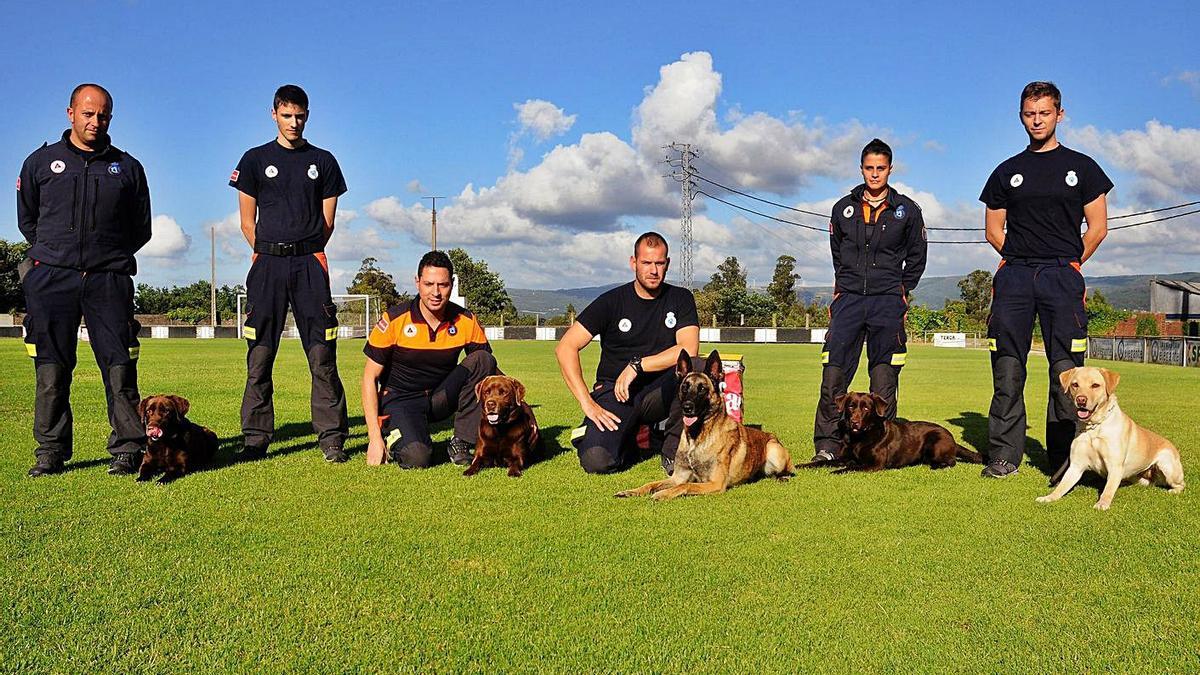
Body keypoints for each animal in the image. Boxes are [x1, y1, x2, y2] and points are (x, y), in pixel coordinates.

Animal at [614, 348, 792, 497]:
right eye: (685, 387)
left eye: (702, 389)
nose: (687, 408)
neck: (696, 438)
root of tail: (770, 435)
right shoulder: (677, 477)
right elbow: (651, 484)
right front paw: (632, 491)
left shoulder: (715, 484)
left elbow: (684, 486)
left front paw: (663, 494)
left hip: (775, 452)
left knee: (786, 471)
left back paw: (782, 477)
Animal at [806, 391, 984, 470]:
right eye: (851, 406)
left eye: (866, 408)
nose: (854, 423)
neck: (860, 437)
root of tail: (951, 436)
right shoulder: (843, 457)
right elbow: (821, 462)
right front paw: (803, 466)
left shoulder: (875, 464)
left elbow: (852, 467)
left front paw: (837, 471)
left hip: (934, 442)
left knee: (951, 461)